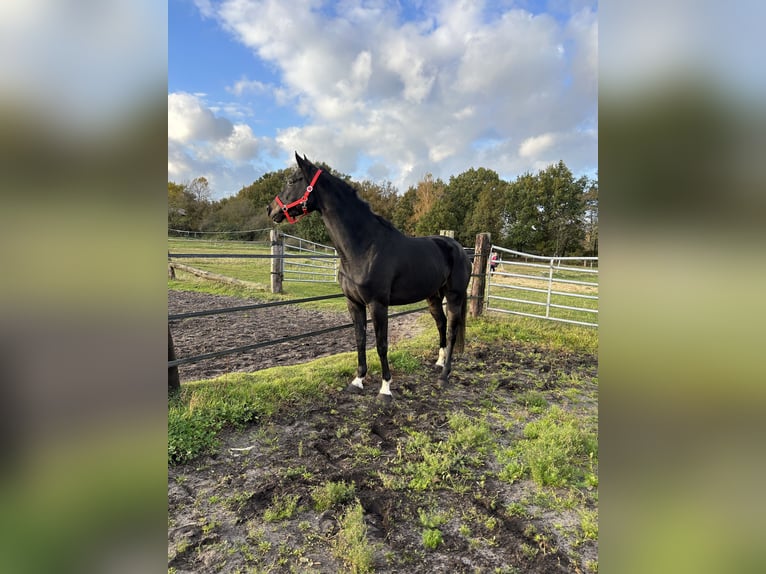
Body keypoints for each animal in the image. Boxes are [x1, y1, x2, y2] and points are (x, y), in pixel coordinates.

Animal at [270, 153, 474, 404]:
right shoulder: (354, 303)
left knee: (453, 329)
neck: (364, 247)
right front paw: (357, 381)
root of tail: (459, 249)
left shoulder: (378, 304)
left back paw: (445, 375)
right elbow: (360, 340)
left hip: (454, 296)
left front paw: (385, 389)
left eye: (291, 181)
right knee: (441, 324)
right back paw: (438, 362)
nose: (271, 209)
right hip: (433, 297)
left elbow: (381, 344)